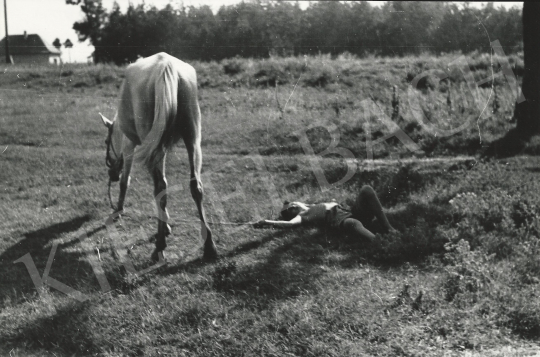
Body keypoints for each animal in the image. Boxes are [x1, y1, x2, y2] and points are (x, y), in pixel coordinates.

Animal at [99, 51, 217, 260]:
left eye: (107, 142)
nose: (111, 175)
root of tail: (166, 66)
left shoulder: (129, 147)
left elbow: (126, 181)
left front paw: (119, 208)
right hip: (192, 140)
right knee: (195, 186)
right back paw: (209, 245)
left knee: (160, 188)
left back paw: (160, 245)